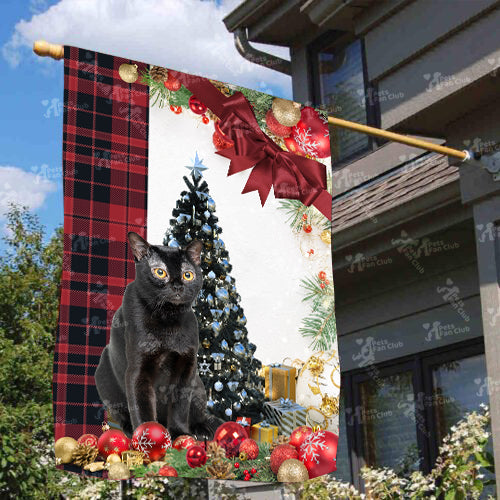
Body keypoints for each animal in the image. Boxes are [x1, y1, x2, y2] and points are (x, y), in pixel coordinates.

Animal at [94, 230, 220, 438]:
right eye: (160, 272)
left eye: (187, 275)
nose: (177, 286)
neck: (168, 319)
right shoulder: (138, 370)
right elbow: (142, 408)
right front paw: (145, 435)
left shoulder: (186, 367)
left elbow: (179, 407)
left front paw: (180, 434)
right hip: (104, 376)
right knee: (121, 411)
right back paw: (128, 427)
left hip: (198, 386)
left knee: (198, 412)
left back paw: (202, 428)